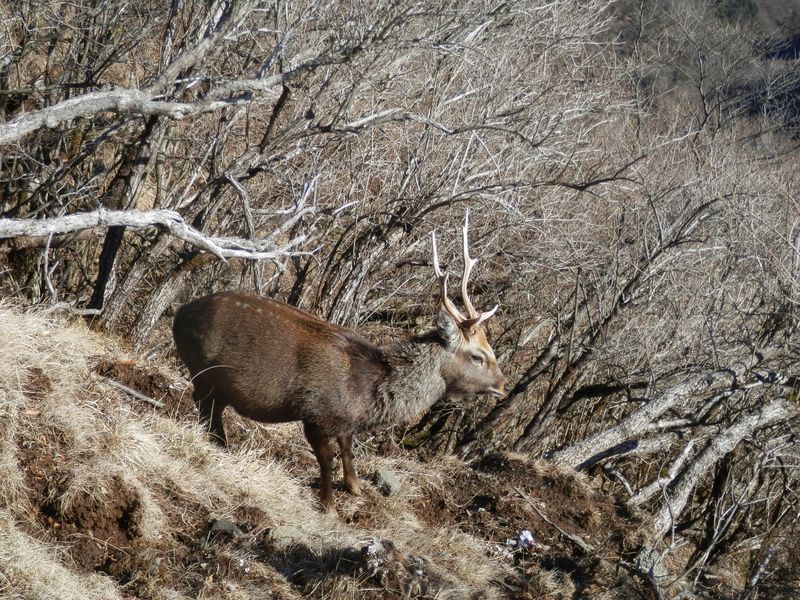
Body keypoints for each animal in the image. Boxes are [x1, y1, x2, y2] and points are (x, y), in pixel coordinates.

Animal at [172, 213, 508, 512]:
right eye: (478, 356)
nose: (503, 384)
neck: (366, 393)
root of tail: (178, 314)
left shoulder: (345, 422)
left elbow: (348, 450)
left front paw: (356, 488)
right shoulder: (316, 414)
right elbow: (327, 460)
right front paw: (329, 508)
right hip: (204, 373)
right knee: (205, 408)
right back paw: (218, 446)